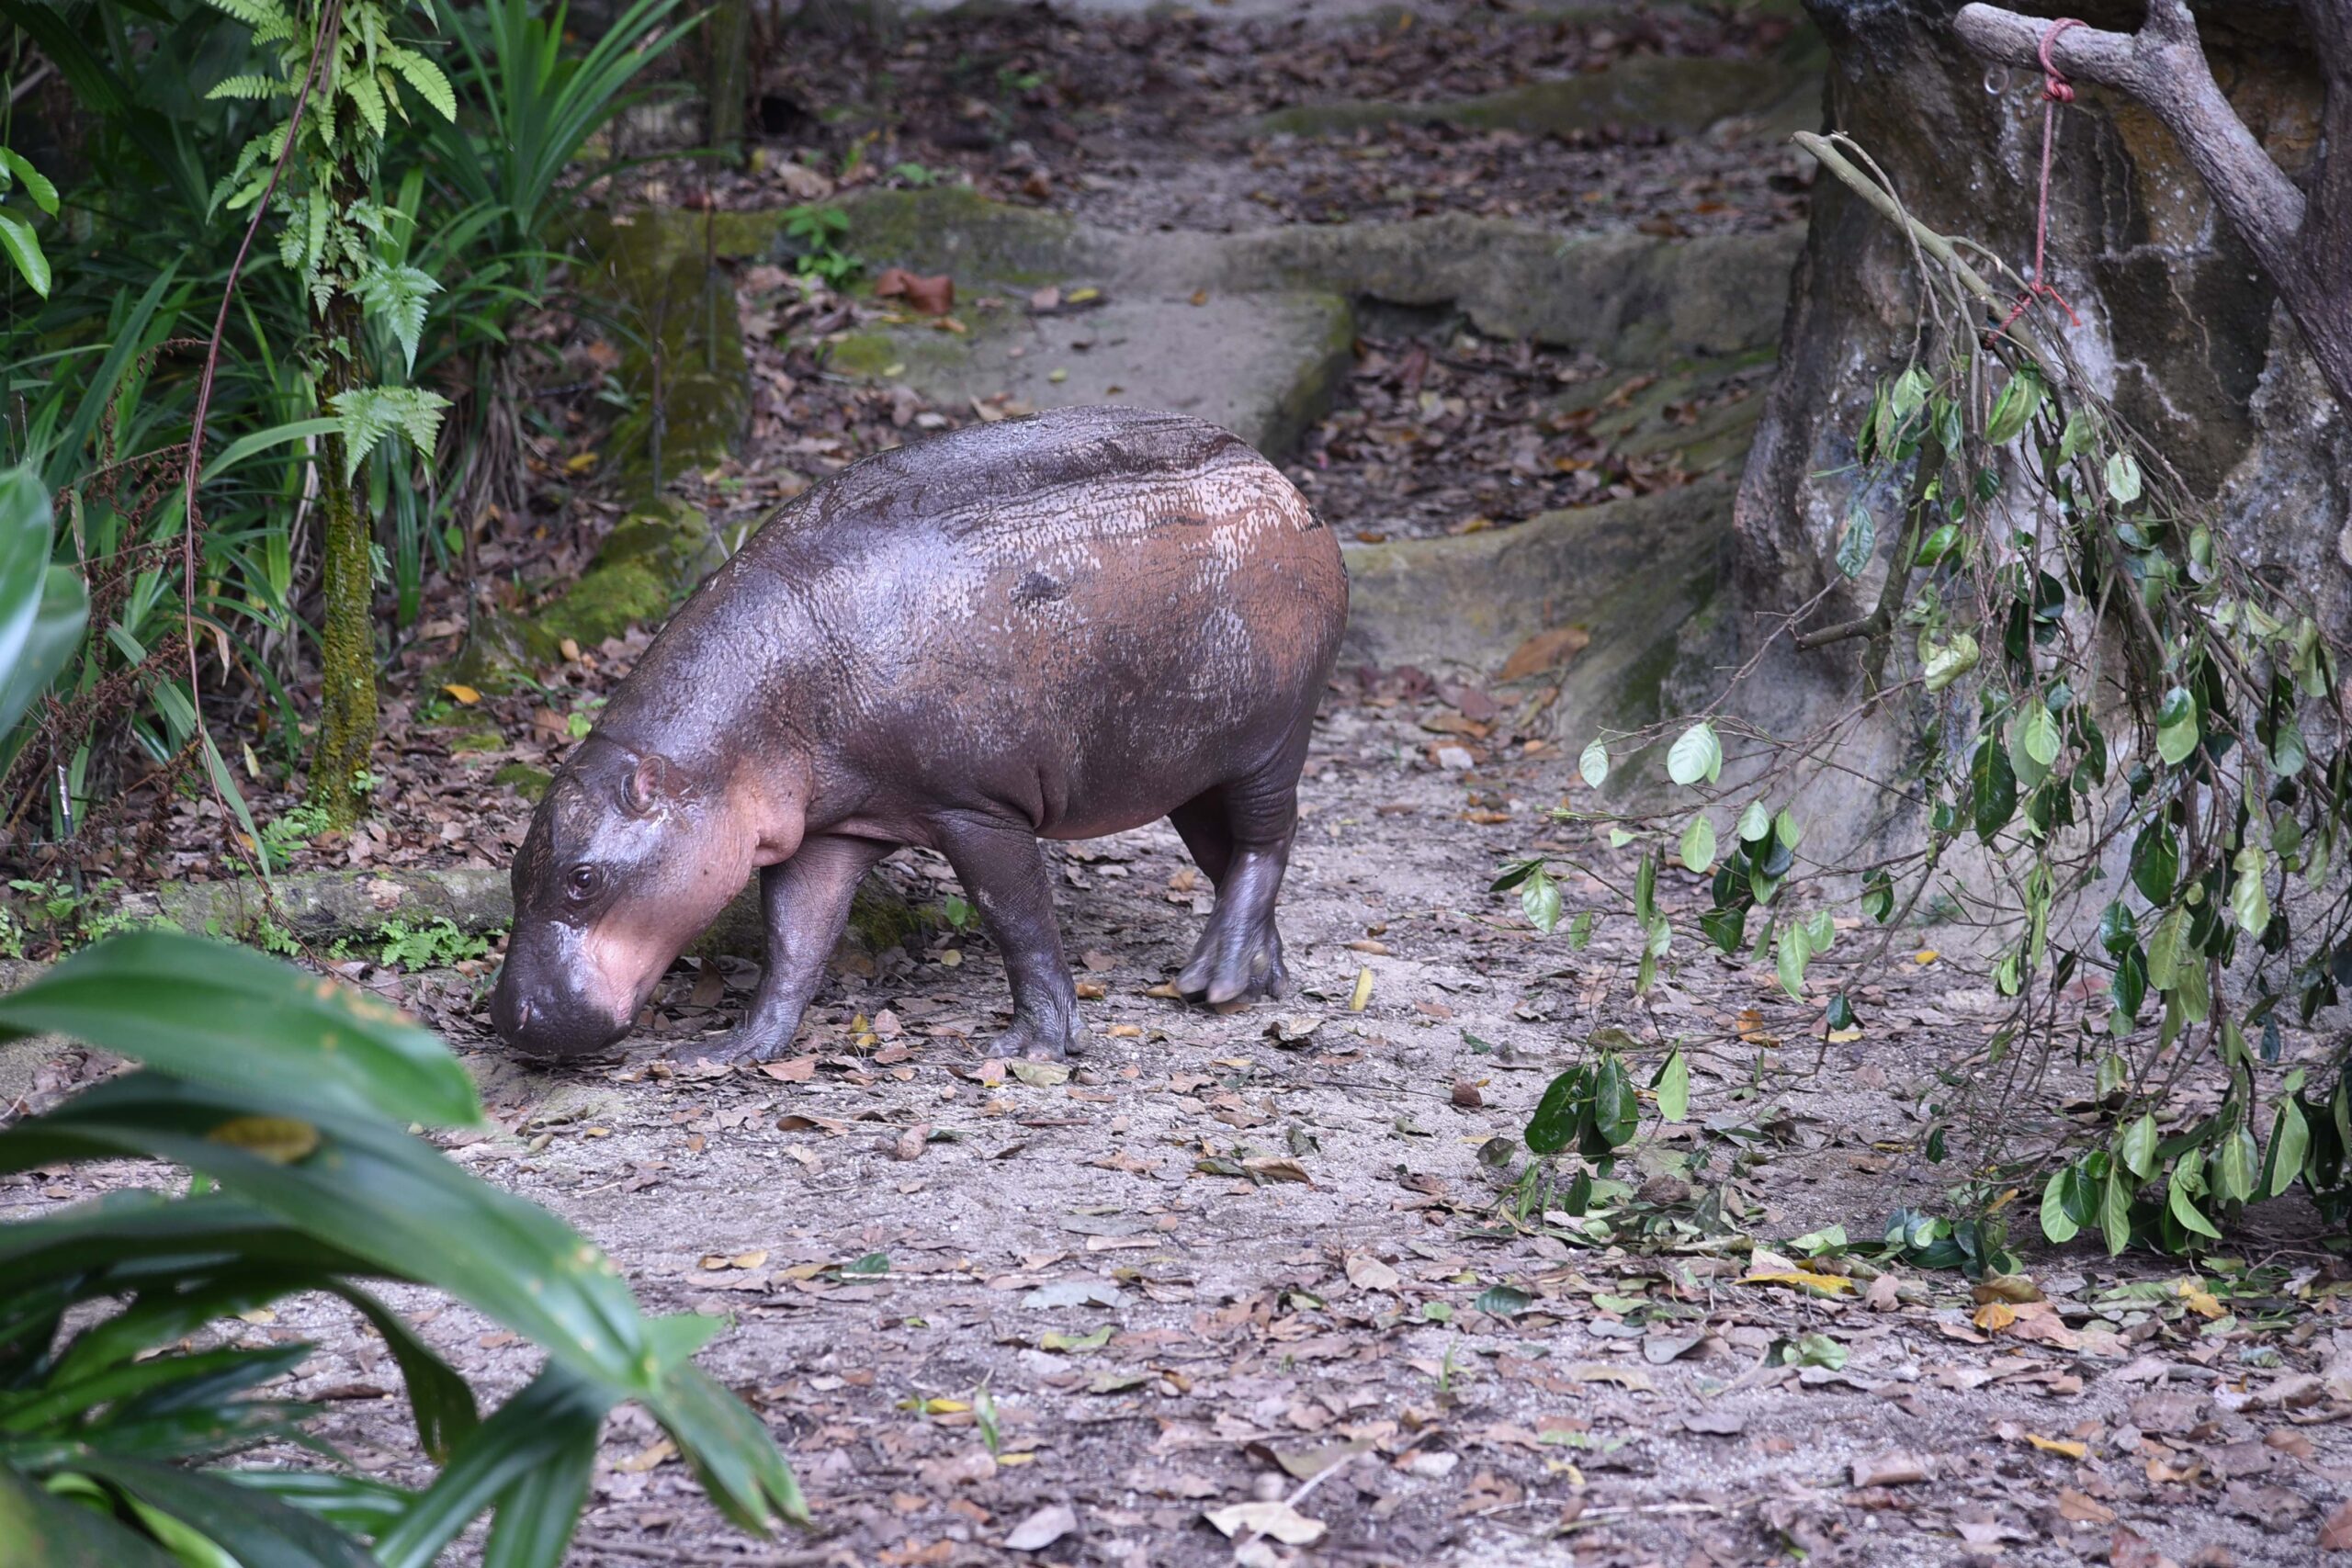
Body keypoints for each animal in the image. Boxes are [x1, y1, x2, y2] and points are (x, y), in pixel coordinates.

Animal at [493, 404, 1345, 1066]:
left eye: (583, 879)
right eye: (514, 867)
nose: (507, 1018)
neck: (731, 740)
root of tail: (1282, 478)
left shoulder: (976, 809)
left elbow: (1017, 920)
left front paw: (1035, 1046)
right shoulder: (827, 829)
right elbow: (794, 941)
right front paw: (731, 1048)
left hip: (1272, 742)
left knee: (1269, 841)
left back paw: (1213, 980)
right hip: (1188, 766)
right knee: (1225, 856)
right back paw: (1255, 975)